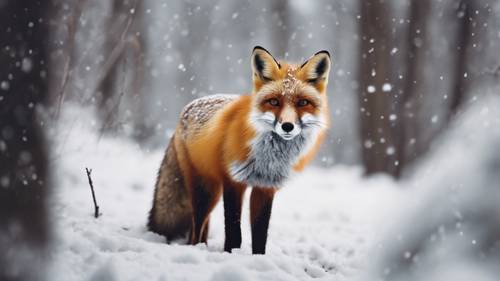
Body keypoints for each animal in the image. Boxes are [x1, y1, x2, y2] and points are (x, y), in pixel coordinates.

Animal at [146, 46, 330, 254]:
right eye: (274, 102)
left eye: (302, 103)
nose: (287, 126)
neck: (267, 157)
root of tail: (186, 108)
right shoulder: (233, 181)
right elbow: (234, 231)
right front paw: (231, 253)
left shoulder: (265, 187)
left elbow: (260, 234)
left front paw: (258, 257)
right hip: (206, 191)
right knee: (196, 226)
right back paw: (196, 248)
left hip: (212, 190)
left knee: (200, 229)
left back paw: (202, 247)